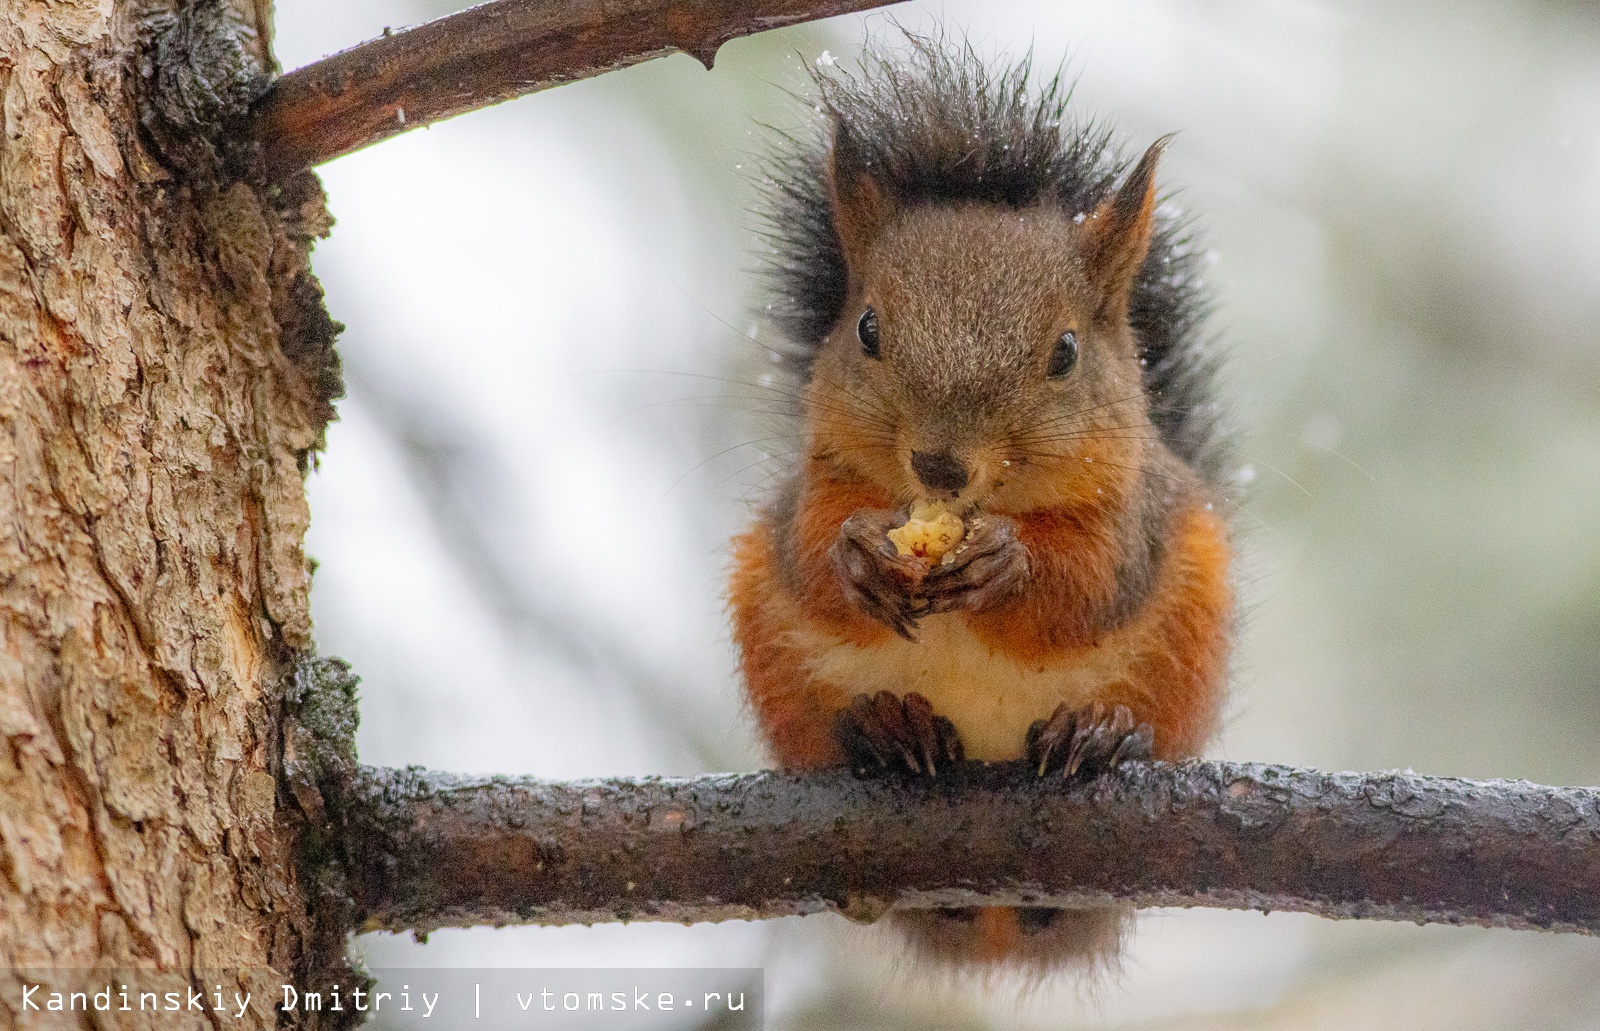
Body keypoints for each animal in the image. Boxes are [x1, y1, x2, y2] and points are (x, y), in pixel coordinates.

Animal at [729, 38, 1235, 973]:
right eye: (866, 328)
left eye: (1065, 351)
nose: (938, 464)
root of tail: (998, 926)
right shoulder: (805, 496)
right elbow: (809, 553)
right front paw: (856, 554)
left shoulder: (1135, 515)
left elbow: (1091, 582)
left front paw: (1010, 561)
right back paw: (886, 729)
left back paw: (1100, 733)